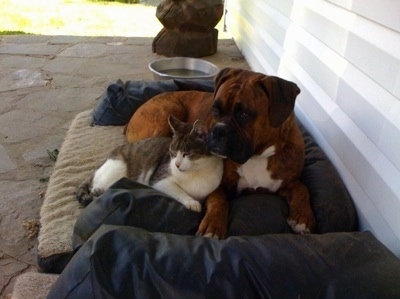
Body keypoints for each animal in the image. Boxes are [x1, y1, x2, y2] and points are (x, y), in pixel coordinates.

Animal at [76, 116, 223, 212]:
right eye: (173, 152)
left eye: (187, 154)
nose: (176, 165)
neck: (195, 172)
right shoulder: (159, 180)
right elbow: (179, 191)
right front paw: (191, 202)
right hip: (117, 169)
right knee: (97, 186)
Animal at [125, 67, 316, 239]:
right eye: (215, 109)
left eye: (244, 114)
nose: (218, 130)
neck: (257, 156)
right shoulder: (220, 186)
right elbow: (218, 201)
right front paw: (213, 225)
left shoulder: (284, 184)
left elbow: (302, 188)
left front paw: (303, 217)